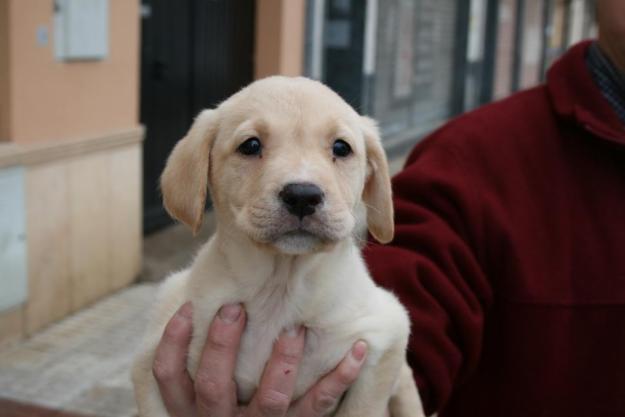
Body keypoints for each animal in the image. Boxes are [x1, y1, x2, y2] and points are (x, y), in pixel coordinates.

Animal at [133, 76, 422, 414]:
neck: (279, 290)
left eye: (341, 147)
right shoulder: (152, 358)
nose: (302, 196)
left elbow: (360, 407)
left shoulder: (384, 338)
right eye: (251, 145)